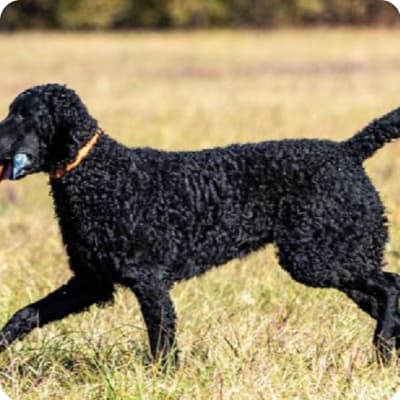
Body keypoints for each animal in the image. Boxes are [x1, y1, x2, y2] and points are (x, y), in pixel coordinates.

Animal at [0, 83, 400, 362]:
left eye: (24, 115)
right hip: (336, 258)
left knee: (391, 285)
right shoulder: (91, 282)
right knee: (388, 300)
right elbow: (26, 314)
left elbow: (162, 343)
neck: (100, 175)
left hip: (318, 259)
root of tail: (348, 150)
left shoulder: (149, 281)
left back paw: (381, 348)